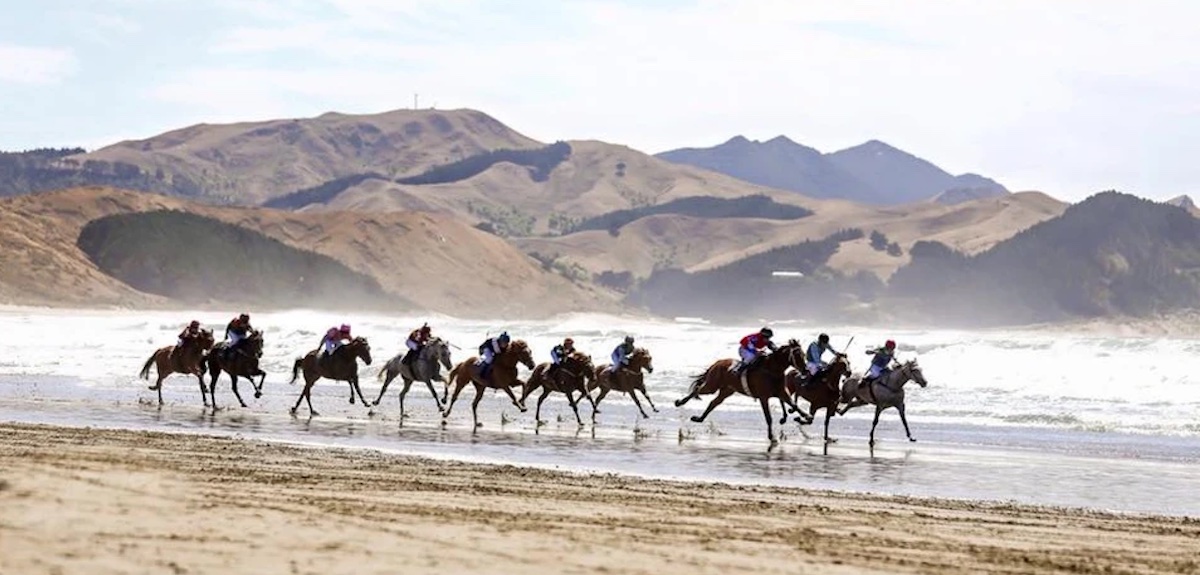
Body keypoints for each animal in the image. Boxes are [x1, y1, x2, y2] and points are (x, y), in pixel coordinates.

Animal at [676, 340, 816, 448]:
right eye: (797, 355)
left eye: (804, 355)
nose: (806, 370)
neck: (772, 370)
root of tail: (717, 363)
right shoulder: (764, 397)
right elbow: (768, 417)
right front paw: (772, 437)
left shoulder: (782, 393)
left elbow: (795, 406)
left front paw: (807, 416)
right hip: (712, 386)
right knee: (698, 389)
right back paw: (679, 402)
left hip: (727, 391)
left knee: (713, 403)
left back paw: (699, 418)